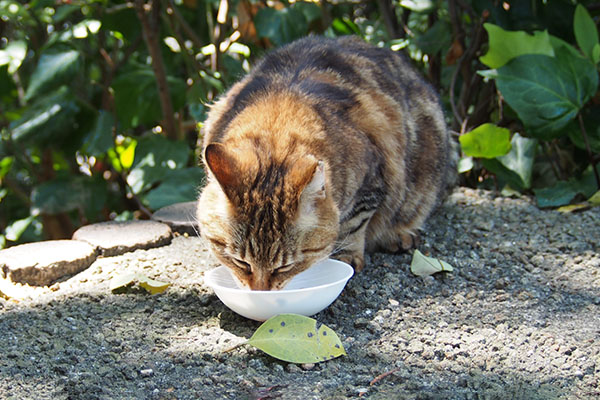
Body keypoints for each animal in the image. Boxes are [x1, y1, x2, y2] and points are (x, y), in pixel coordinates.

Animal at [197, 36, 454, 290]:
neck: (279, 120)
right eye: (242, 262)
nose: (260, 292)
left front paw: (347, 256)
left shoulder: (371, 180)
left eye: (284, 267)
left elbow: (354, 223)